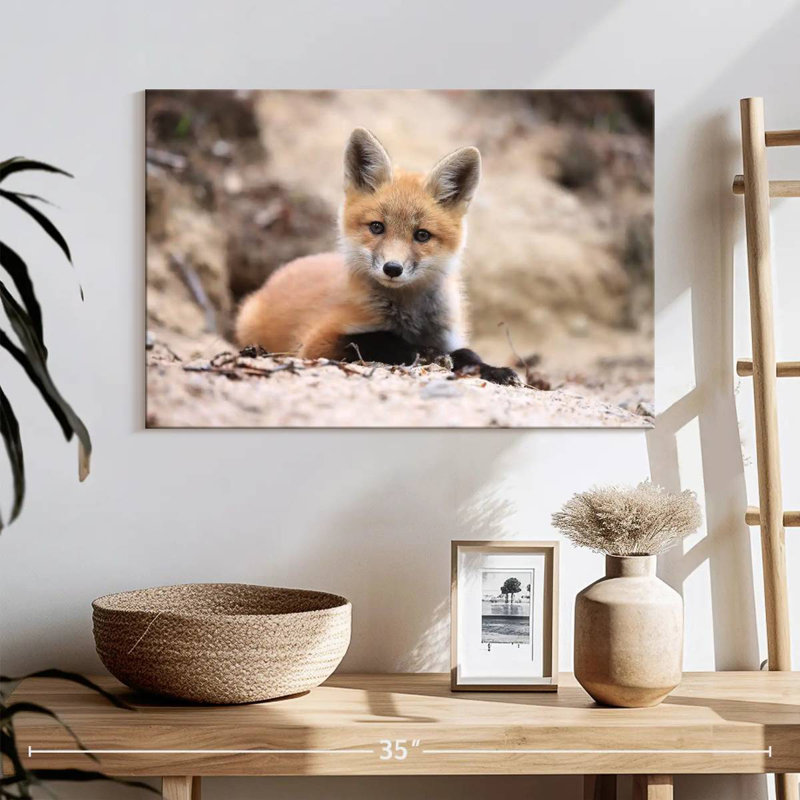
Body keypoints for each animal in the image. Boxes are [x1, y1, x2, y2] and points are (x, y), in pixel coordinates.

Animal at [234, 127, 520, 385]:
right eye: (377, 227)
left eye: (422, 235)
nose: (392, 268)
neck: (410, 318)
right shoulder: (316, 343)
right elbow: (379, 340)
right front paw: (427, 353)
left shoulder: (449, 336)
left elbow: (469, 353)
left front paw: (495, 370)